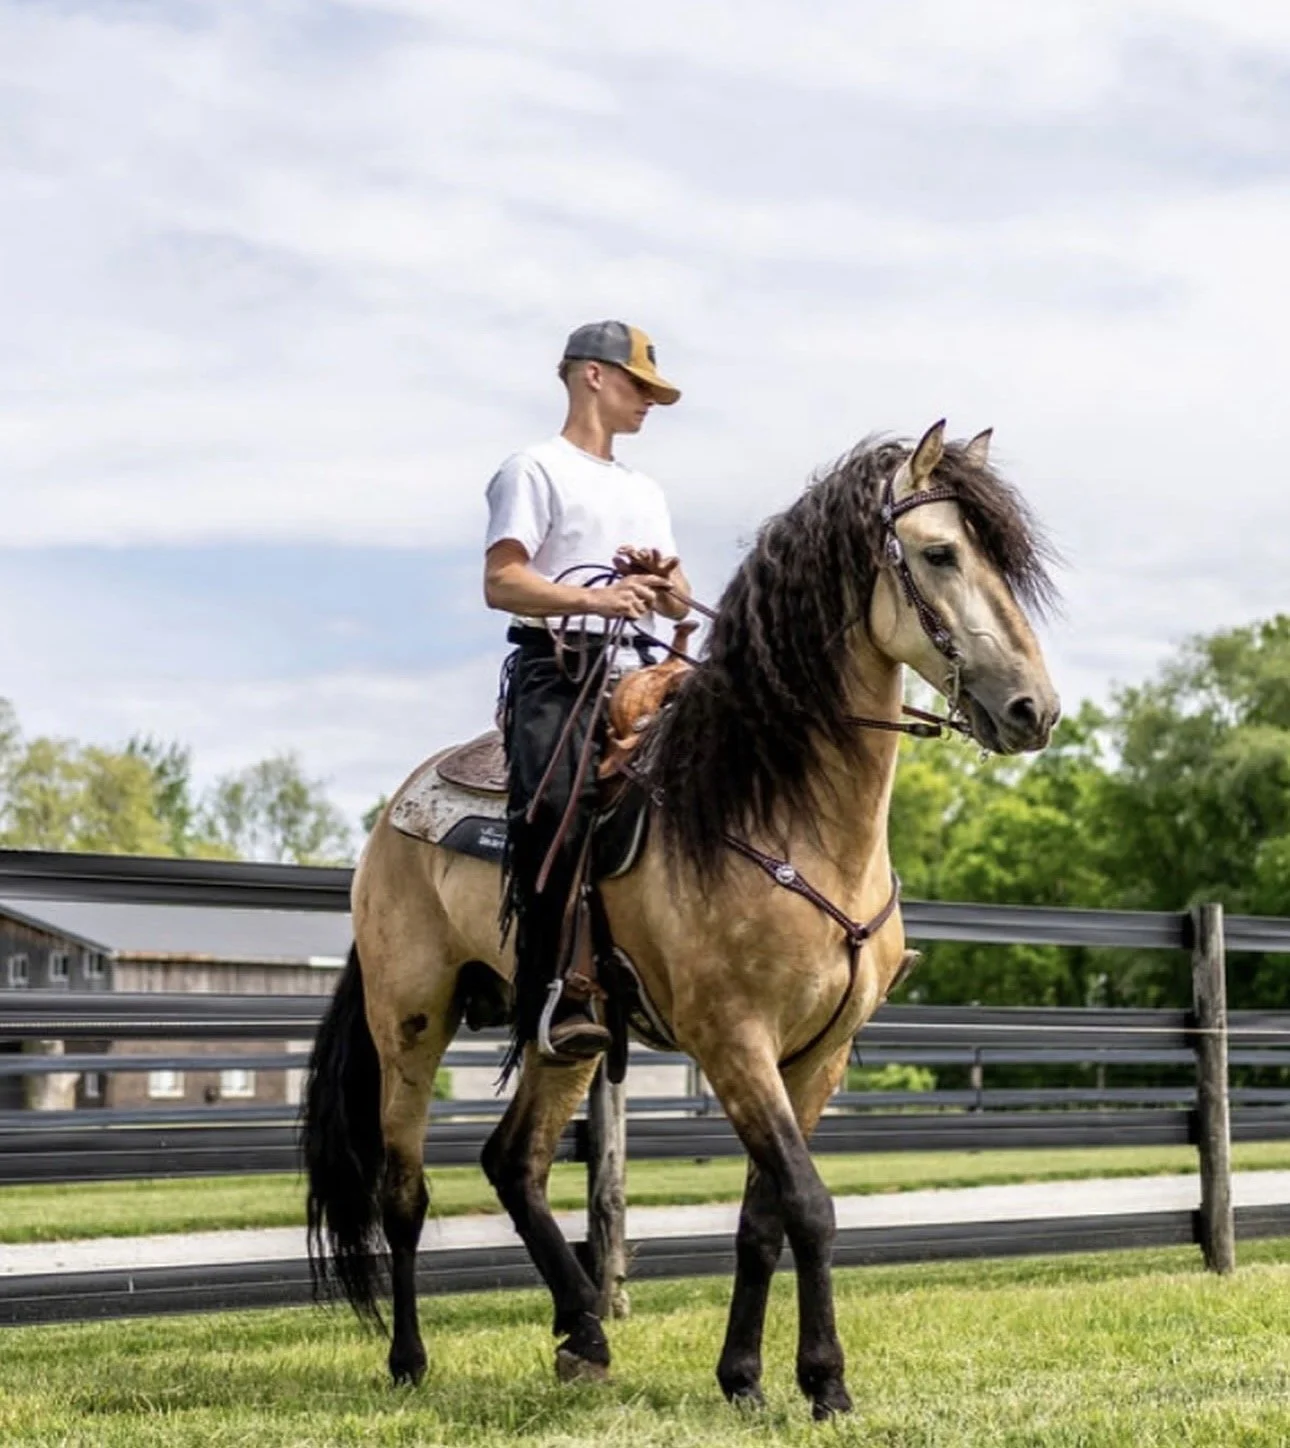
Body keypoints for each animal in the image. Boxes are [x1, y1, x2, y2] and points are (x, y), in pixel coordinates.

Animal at [302, 420, 1060, 1418]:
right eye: (939, 553)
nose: (1033, 710)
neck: (775, 810)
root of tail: (394, 814)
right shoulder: (732, 1039)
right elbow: (810, 1204)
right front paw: (826, 1382)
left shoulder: (819, 1053)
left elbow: (761, 1217)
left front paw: (744, 1378)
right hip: (411, 1019)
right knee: (403, 1191)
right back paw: (410, 1359)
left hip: (568, 1038)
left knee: (516, 1163)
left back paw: (584, 1330)